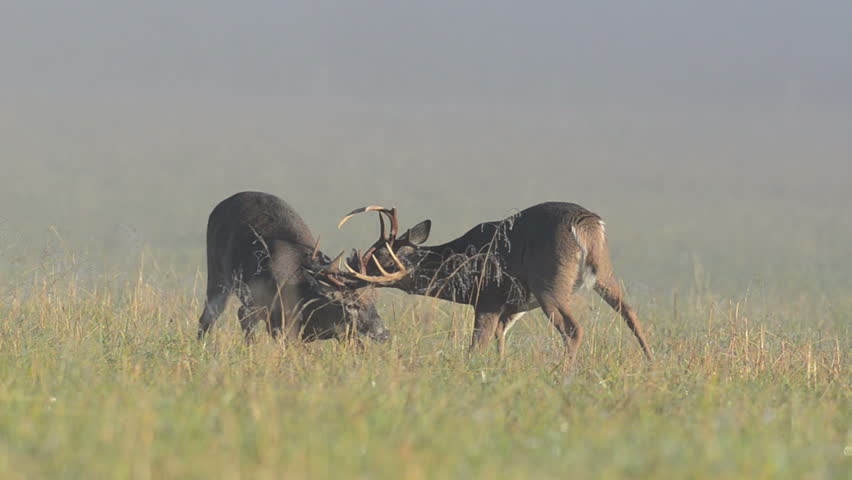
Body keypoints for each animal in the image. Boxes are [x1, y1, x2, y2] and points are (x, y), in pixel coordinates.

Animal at [197, 191, 390, 345]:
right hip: (219, 277)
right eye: (351, 305)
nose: (383, 333)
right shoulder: (279, 324)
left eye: (374, 298)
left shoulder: (344, 333)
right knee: (211, 317)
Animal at [337, 202, 652, 367]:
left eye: (381, 260)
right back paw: (651, 361)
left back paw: (563, 372)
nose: (345, 276)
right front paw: (501, 368)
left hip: (550, 284)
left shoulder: (487, 299)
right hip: (604, 272)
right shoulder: (511, 307)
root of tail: (587, 223)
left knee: (574, 329)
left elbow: (477, 345)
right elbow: (501, 340)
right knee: (630, 313)